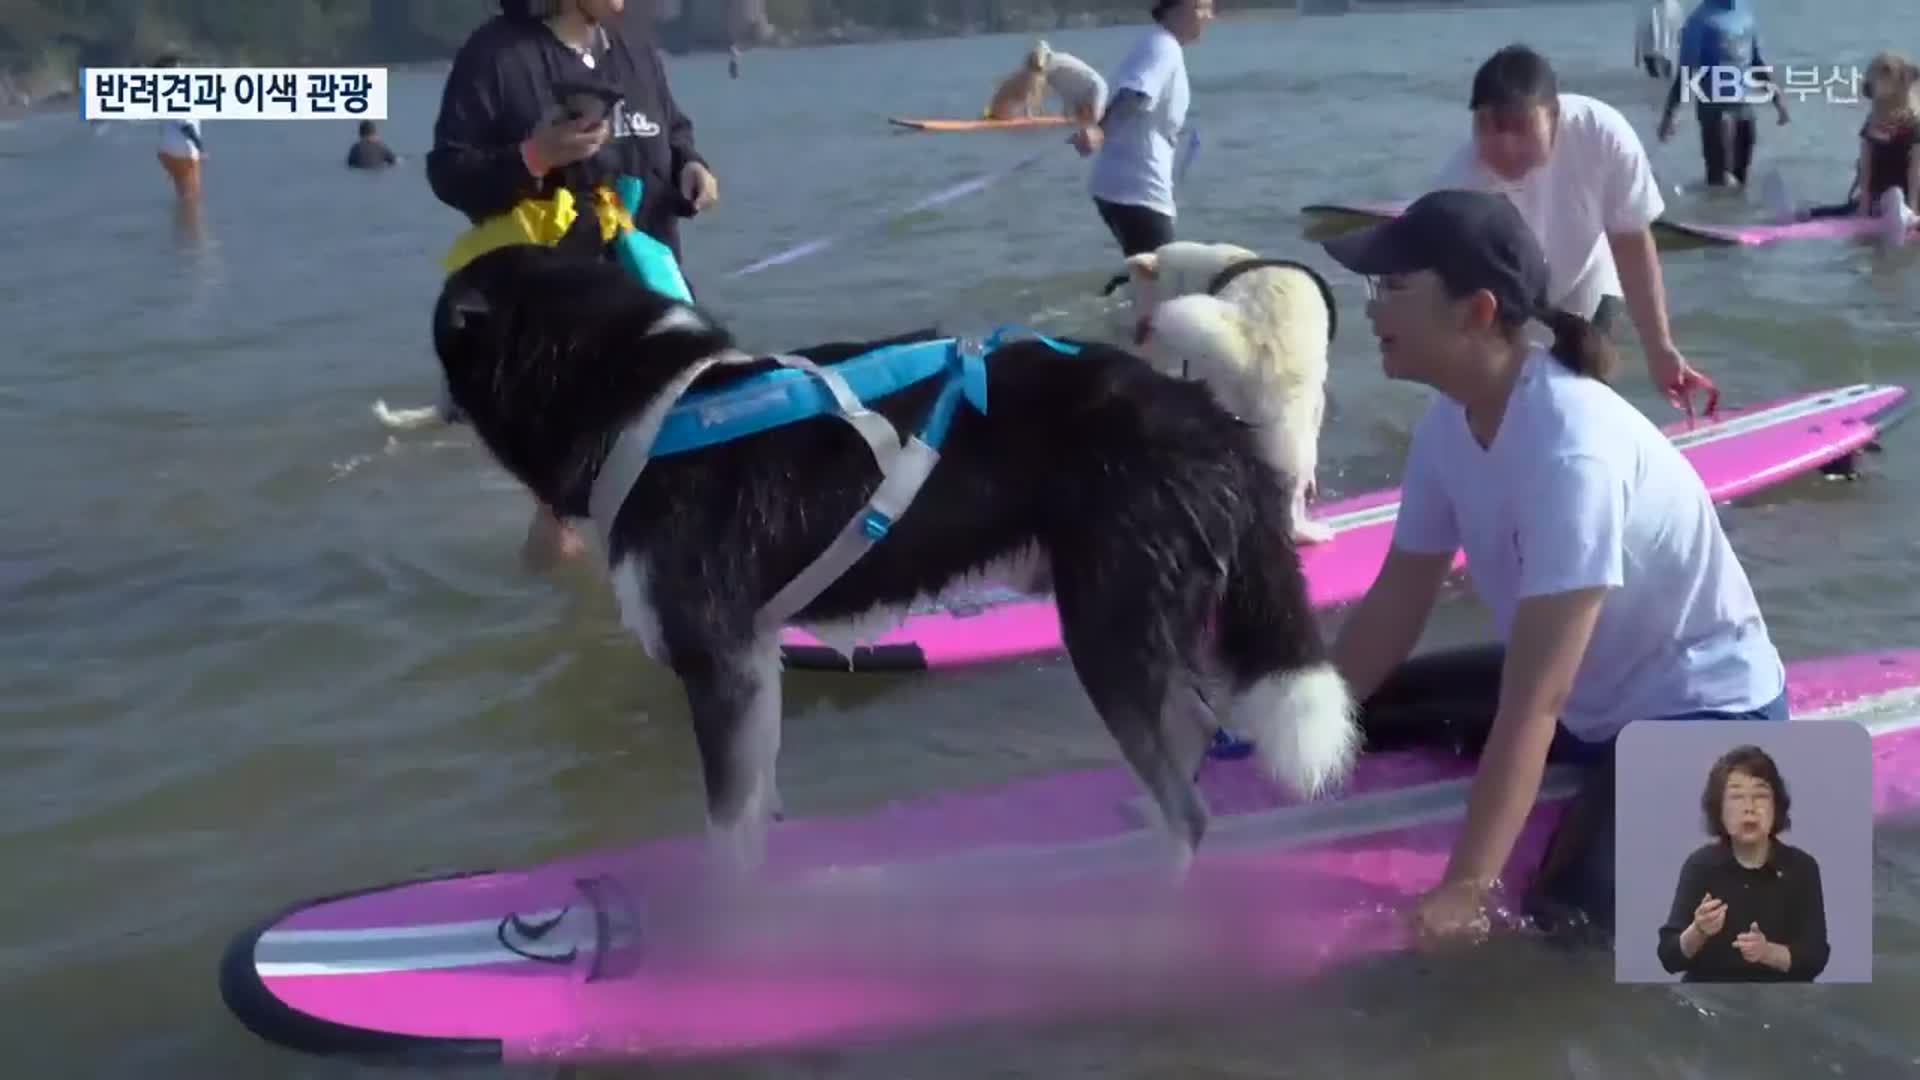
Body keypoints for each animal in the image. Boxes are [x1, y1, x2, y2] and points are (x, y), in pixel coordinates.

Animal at [432, 244, 1367, 876]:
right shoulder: (753, 661)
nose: (432, 403)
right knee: (1194, 734)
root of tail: (1204, 420)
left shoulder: (717, 662)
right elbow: (754, 806)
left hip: (1106, 622)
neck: (648, 399)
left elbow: (726, 827)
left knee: (1190, 805)